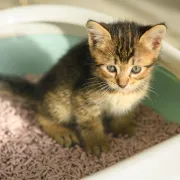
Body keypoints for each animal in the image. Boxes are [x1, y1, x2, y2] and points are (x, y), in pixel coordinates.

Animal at [0, 19, 167, 155]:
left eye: (136, 69)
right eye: (111, 68)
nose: (122, 84)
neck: (118, 93)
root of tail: (39, 89)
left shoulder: (129, 100)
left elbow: (123, 113)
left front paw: (123, 126)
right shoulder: (82, 97)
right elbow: (90, 121)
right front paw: (96, 141)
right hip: (60, 99)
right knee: (41, 112)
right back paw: (60, 131)